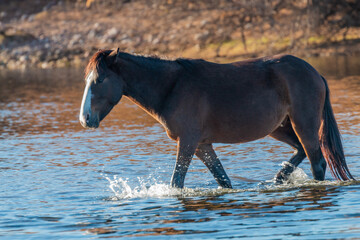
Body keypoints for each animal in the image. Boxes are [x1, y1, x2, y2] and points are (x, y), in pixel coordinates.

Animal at [79, 48, 354, 188]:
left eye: (100, 80)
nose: (85, 119)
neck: (172, 87)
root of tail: (314, 72)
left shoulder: (188, 142)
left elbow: (177, 181)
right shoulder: (202, 145)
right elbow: (223, 180)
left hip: (303, 124)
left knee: (317, 162)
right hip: (280, 128)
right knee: (301, 151)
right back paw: (280, 177)